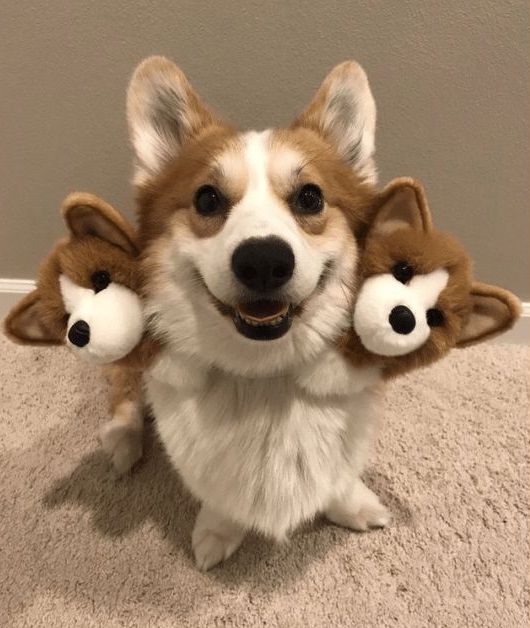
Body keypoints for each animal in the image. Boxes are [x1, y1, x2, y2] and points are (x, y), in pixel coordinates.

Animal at [5, 194, 154, 474]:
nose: (80, 330)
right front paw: (124, 439)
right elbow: (126, 395)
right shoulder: (126, 368)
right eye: (65, 318)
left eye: (101, 279)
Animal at [126, 56, 392, 572]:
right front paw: (216, 532)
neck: (263, 376)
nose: (264, 261)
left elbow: (339, 476)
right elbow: (217, 498)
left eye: (310, 197)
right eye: (207, 198)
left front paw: (352, 506)